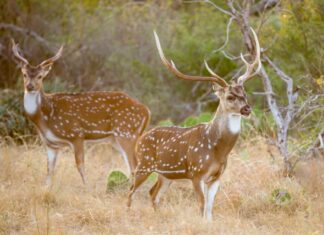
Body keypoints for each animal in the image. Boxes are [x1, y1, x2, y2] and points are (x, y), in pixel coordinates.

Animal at [11, 40, 151, 187]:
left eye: (40, 76)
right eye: (24, 74)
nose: (29, 86)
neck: (45, 117)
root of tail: (147, 111)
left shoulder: (76, 134)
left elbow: (80, 166)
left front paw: (86, 188)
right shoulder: (50, 144)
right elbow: (49, 170)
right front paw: (46, 188)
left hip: (127, 133)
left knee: (136, 166)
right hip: (116, 139)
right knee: (132, 166)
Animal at [126, 27, 260, 220]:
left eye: (245, 94)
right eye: (230, 96)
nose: (247, 109)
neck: (218, 149)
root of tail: (140, 139)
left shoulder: (217, 176)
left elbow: (210, 208)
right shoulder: (197, 173)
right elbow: (201, 206)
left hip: (165, 175)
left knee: (153, 193)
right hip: (144, 164)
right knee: (130, 191)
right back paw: (128, 214)